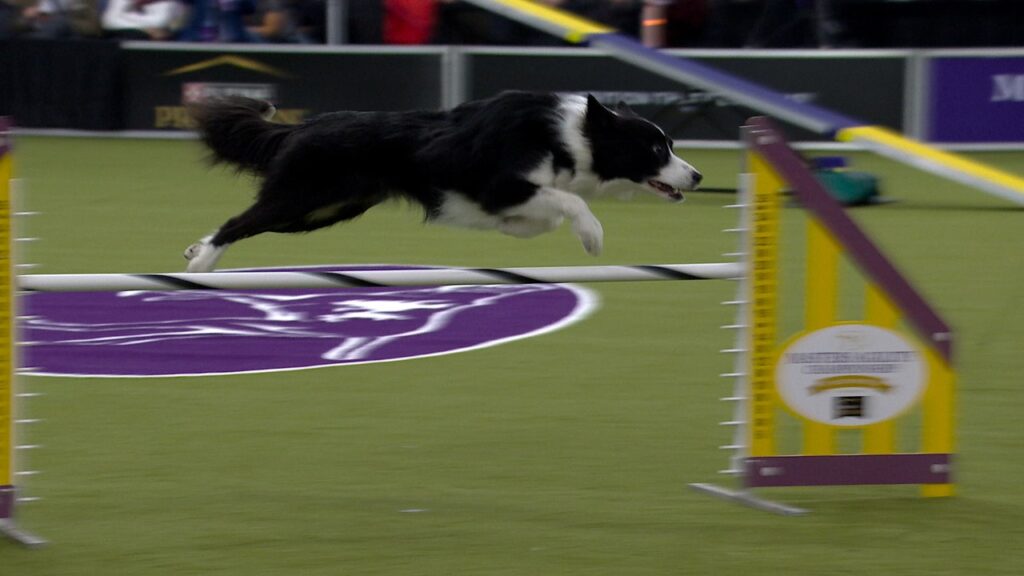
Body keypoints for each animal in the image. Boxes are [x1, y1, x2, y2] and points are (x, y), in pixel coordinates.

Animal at [184, 90, 700, 270]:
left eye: (670, 143)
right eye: (657, 150)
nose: (697, 176)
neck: (572, 136)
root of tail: (300, 127)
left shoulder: (512, 195)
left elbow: (548, 214)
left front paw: (519, 227)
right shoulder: (500, 183)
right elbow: (572, 203)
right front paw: (592, 238)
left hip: (326, 209)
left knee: (247, 222)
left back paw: (196, 250)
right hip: (301, 197)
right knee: (239, 220)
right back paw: (202, 262)